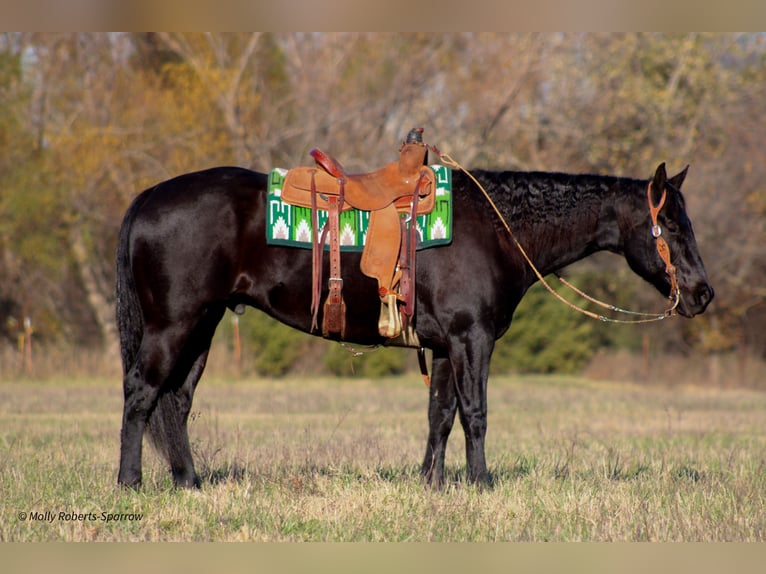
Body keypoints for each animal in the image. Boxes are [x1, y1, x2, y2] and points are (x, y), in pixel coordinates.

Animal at [114, 161, 712, 490]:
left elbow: (440, 416)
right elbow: (474, 414)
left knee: (176, 401)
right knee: (142, 392)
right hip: (174, 324)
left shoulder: (446, 345)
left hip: (203, 325)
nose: (703, 293)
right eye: (668, 223)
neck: (497, 227)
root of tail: (149, 196)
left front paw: (434, 483)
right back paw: (130, 483)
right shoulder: (472, 339)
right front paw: (480, 483)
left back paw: (188, 483)